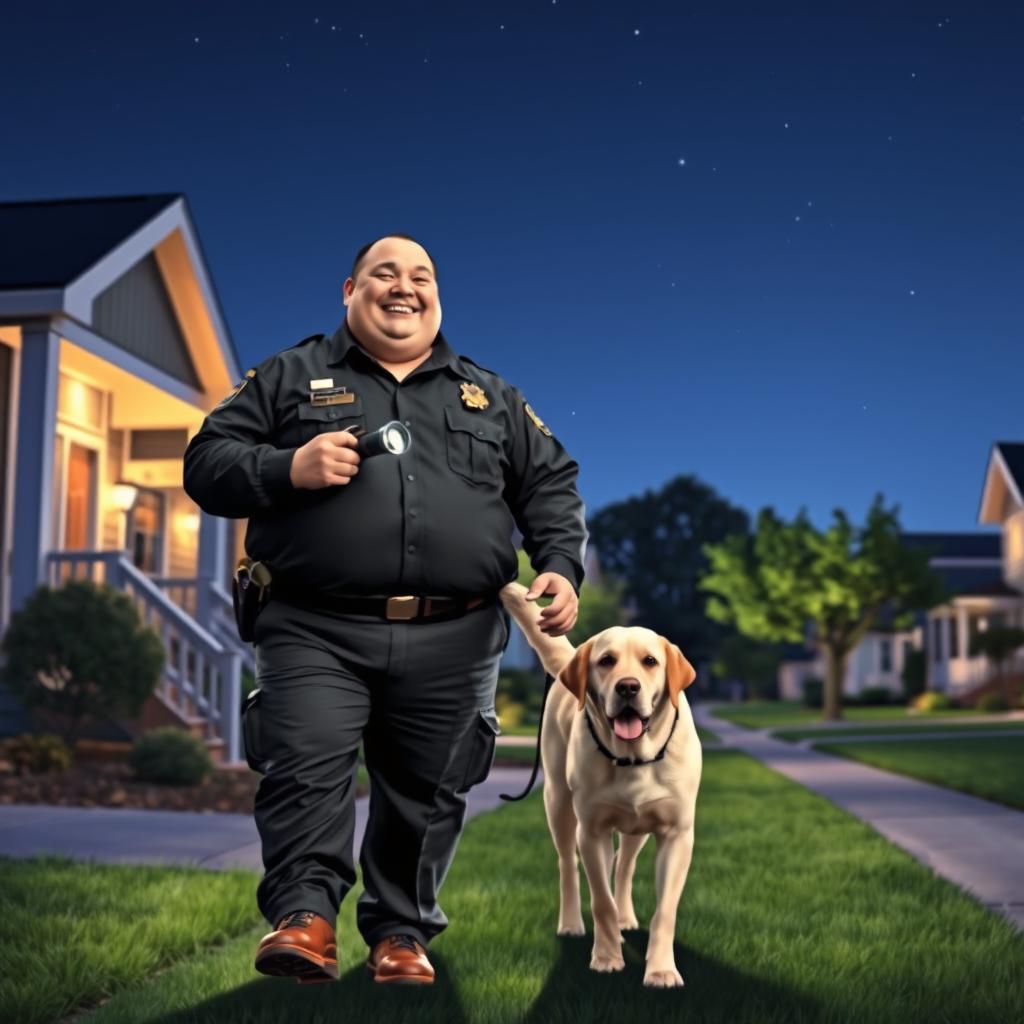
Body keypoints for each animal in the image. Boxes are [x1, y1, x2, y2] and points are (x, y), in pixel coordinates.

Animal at [497, 581, 704, 987]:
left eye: (650, 661)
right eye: (606, 661)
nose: (628, 687)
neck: (634, 757)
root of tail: (570, 657)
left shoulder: (677, 834)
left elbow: (664, 910)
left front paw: (661, 969)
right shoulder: (591, 831)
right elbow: (601, 900)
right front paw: (607, 958)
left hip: (637, 828)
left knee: (624, 866)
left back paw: (626, 918)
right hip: (559, 804)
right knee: (568, 864)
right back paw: (572, 924)